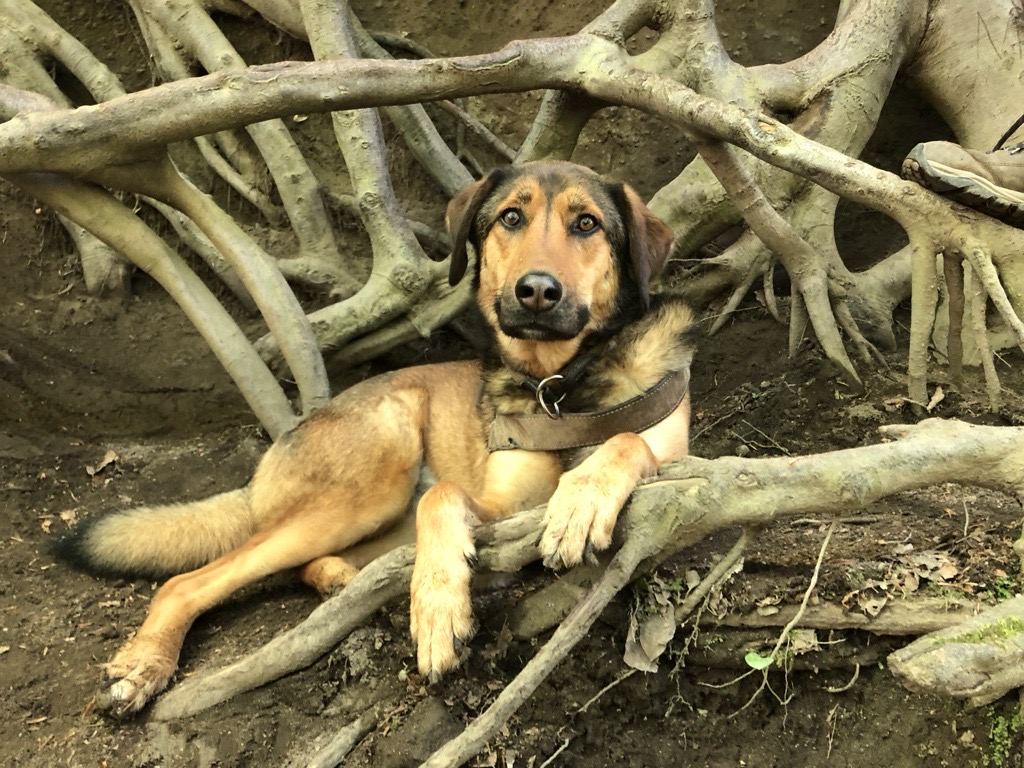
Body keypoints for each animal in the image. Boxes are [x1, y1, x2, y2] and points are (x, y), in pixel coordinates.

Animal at [54, 162, 696, 716]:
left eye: (586, 223)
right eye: (511, 217)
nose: (536, 291)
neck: (562, 385)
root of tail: (270, 462)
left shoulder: (668, 453)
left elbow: (628, 441)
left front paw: (581, 499)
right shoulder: (497, 500)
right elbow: (443, 498)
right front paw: (437, 607)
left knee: (313, 563)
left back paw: (349, 581)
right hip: (378, 471)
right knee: (187, 582)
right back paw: (145, 664)